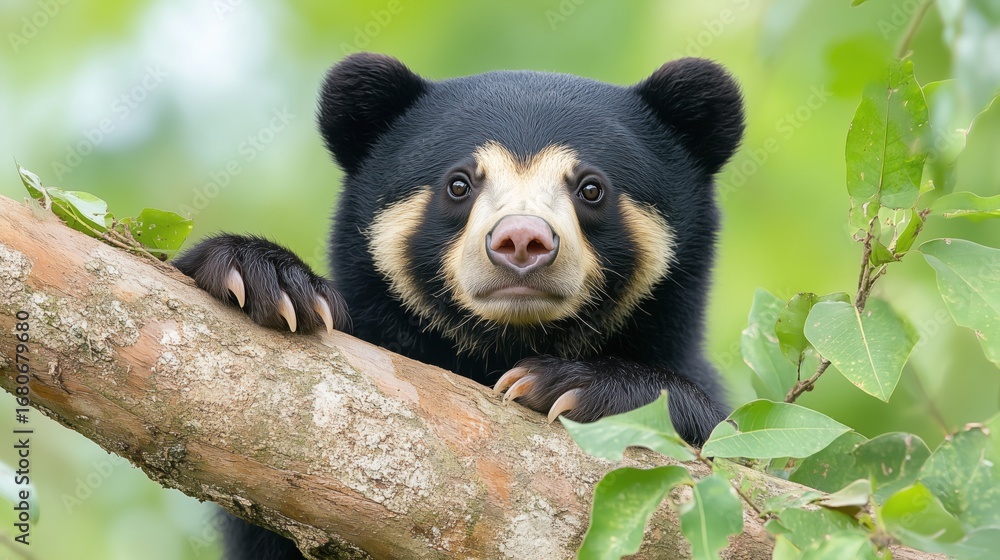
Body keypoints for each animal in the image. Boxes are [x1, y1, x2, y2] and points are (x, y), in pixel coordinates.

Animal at [174, 52, 744, 560]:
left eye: (591, 188)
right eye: (459, 183)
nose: (522, 240)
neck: (498, 342)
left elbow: (721, 432)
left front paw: (568, 385)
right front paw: (267, 278)